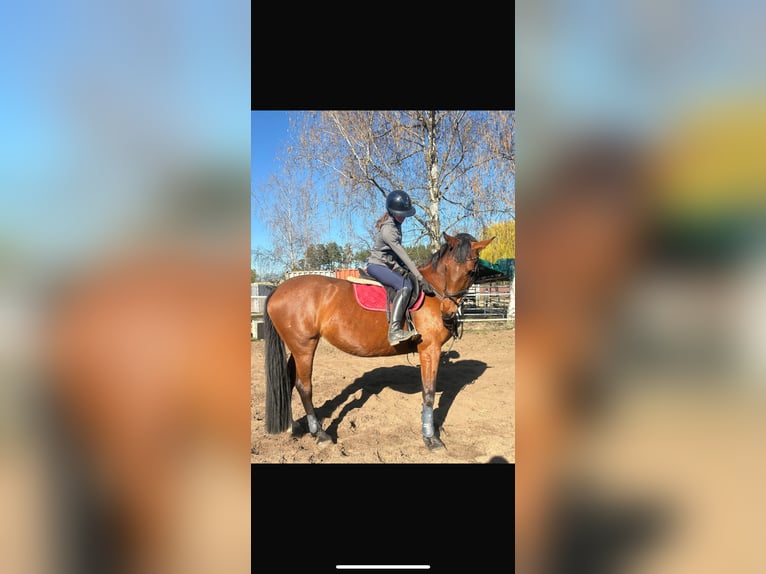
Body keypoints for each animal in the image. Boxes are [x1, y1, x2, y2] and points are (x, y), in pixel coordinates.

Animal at [262, 232, 495, 450]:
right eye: (446, 268)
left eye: (471, 272)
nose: (447, 312)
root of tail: (278, 289)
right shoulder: (430, 349)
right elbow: (428, 393)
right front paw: (431, 438)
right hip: (304, 347)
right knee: (304, 386)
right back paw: (320, 434)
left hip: (297, 347)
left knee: (289, 380)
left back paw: (293, 426)